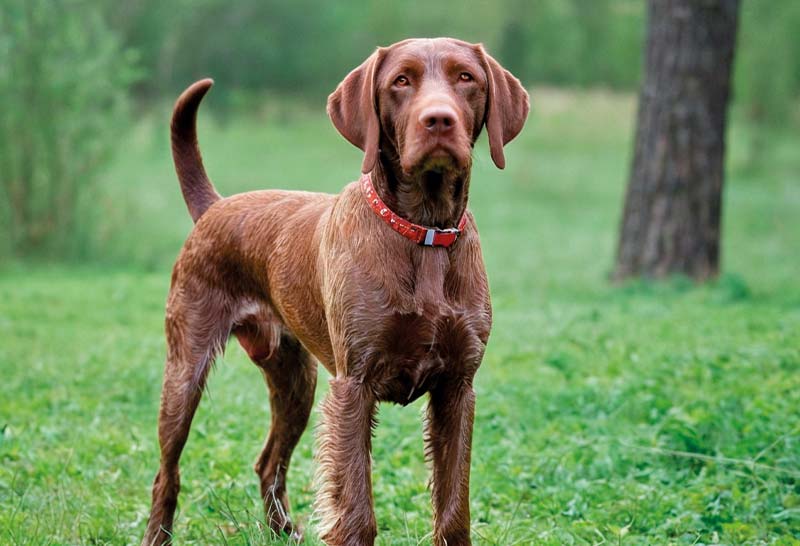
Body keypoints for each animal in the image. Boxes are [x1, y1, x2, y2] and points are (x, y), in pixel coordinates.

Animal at [142, 38, 532, 544]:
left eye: (466, 77)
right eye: (401, 81)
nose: (439, 120)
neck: (424, 232)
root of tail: (216, 207)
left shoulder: (457, 388)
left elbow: (453, 509)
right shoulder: (353, 387)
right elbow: (356, 509)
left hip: (296, 380)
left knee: (269, 461)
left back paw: (283, 532)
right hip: (186, 369)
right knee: (167, 472)